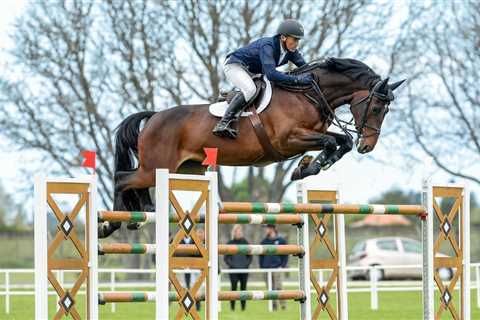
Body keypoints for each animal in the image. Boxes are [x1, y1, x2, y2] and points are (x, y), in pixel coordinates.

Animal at [100, 57, 404, 238]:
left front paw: (310, 166)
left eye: (386, 110)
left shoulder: (312, 133)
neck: (308, 94)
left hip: (183, 168)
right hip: (156, 166)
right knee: (122, 178)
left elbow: (342, 141)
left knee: (136, 183)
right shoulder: (287, 140)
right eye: (376, 108)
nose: (368, 146)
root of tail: (153, 117)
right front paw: (306, 168)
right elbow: (332, 141)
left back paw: (142, 214)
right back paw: (110, 224)